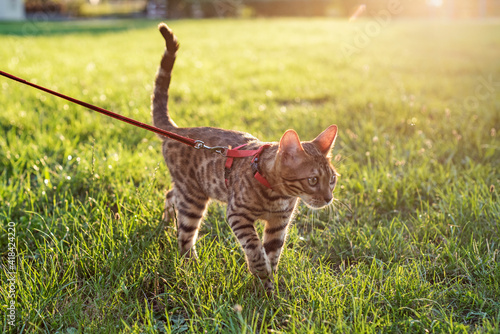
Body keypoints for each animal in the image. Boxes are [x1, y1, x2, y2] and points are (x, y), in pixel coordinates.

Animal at [151, 23, 340, 290]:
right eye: (313, 180)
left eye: (332, 179)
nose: (328, 198)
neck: (277, 194)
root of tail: (180, 130)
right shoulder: (238, 214)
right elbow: (254, 247)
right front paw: (261, 274)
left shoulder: (279, 223)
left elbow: (273, 252)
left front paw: (270, 287)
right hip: (193, 197)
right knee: (186, 234)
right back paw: (191, 267)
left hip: (189, 190)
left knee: (170, 195)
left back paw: (167, 222)